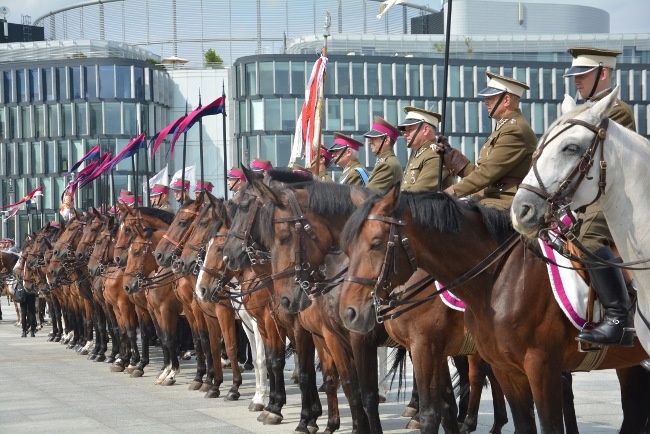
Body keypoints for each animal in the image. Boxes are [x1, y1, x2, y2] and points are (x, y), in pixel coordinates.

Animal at [336, 186, 648, 434]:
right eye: (347, 246)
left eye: (376, 244)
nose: (349, 312)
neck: (499, 278)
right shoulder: (504, 368)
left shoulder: (540, 366)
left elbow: (431, 411)